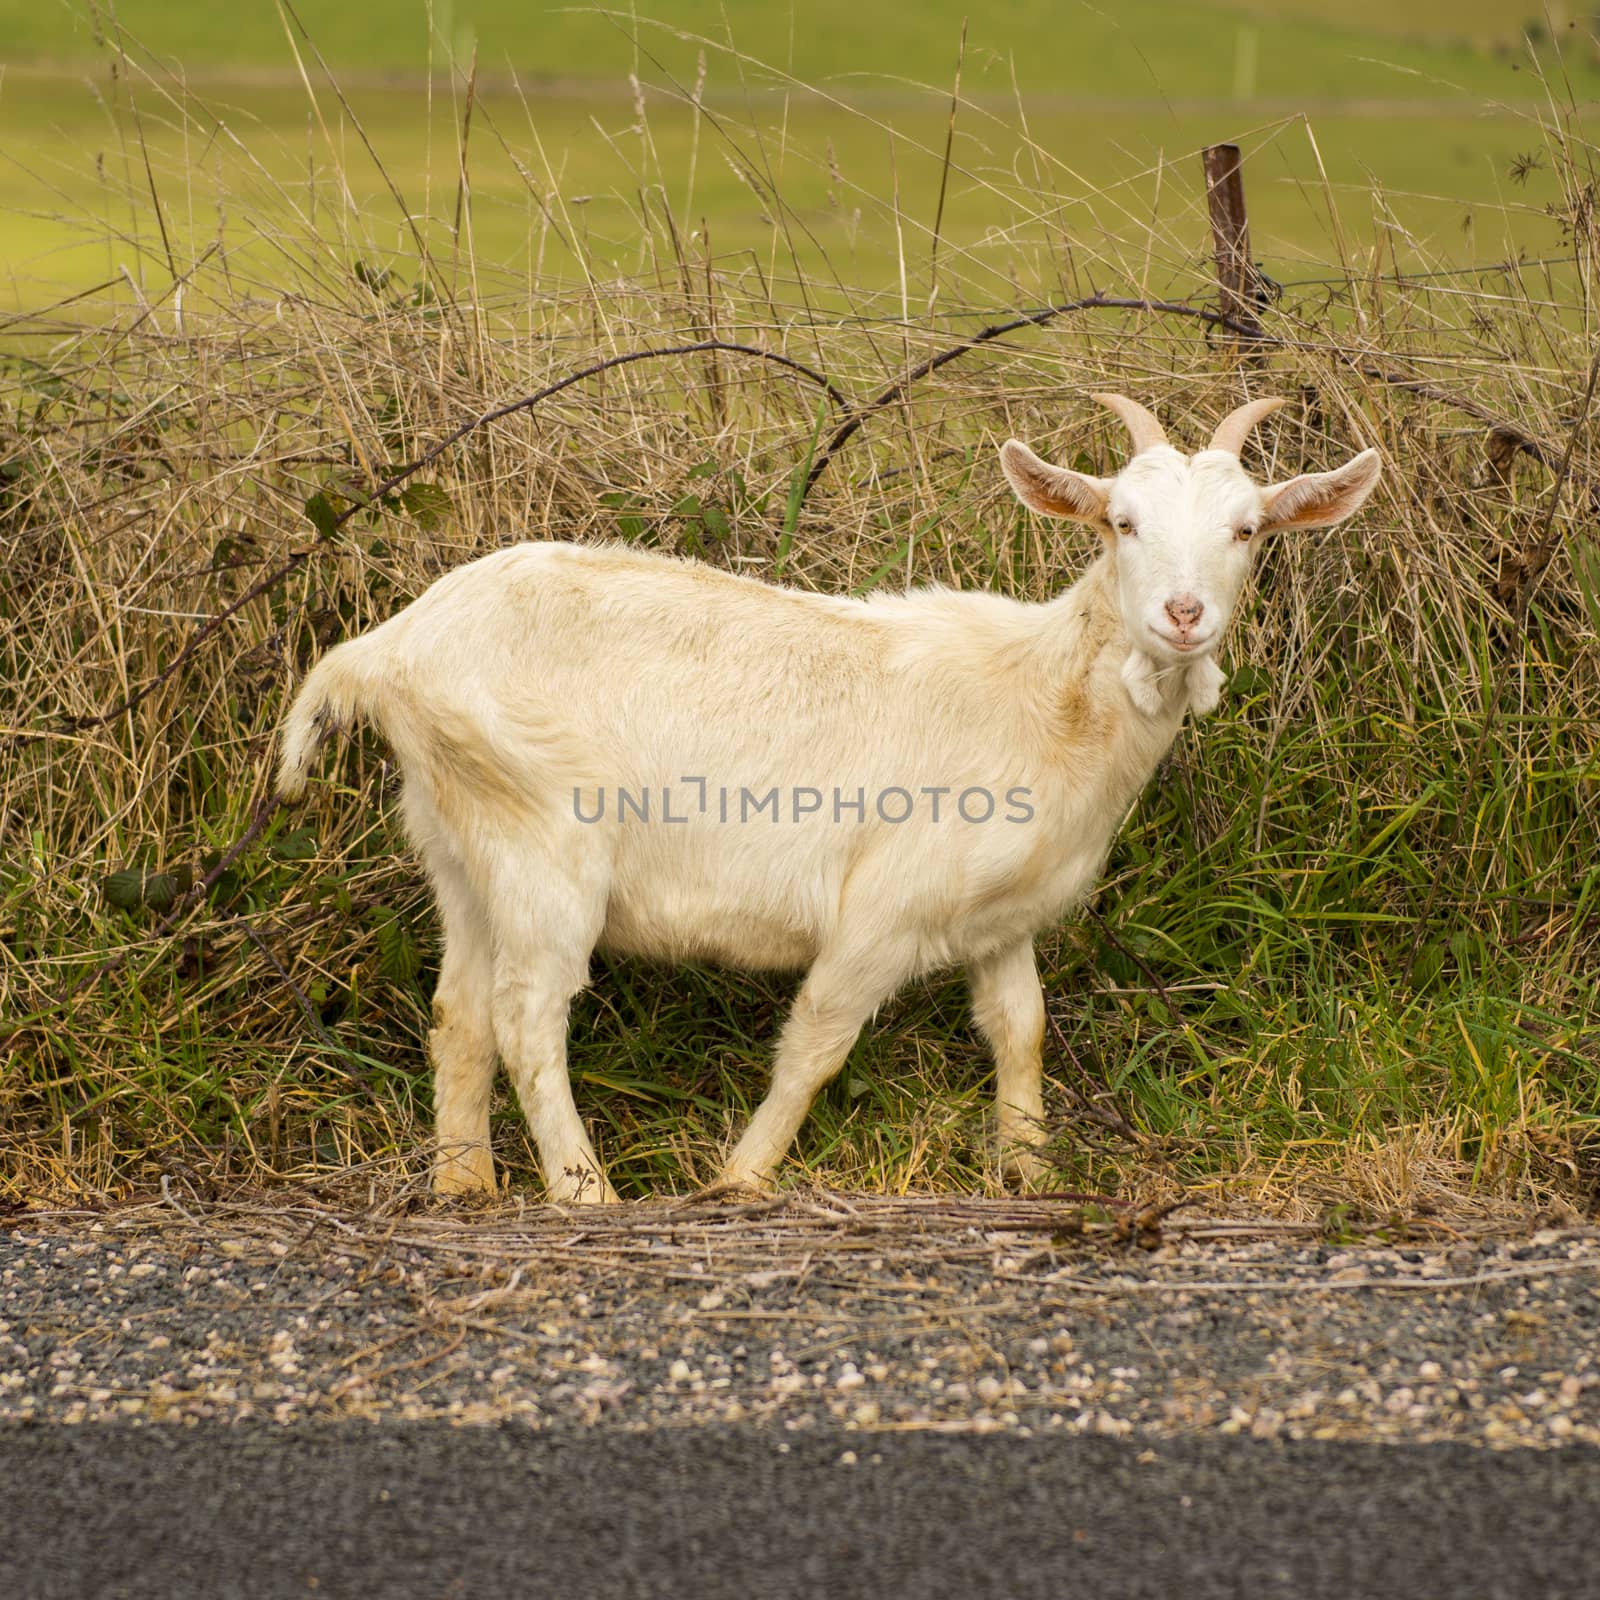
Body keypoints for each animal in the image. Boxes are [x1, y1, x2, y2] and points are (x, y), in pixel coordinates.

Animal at [275, 396, 1376, 1203]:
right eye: (1121, 523)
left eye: (1247, 529)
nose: (1183, 615)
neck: (1047, 695)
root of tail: (385, 650)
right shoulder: (883, 909)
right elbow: (816, 1042)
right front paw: (740, 1180)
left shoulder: (1000, 916)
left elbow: (1017, 1027)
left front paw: (1030, 1168)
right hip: (542, 838)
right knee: (525, 1017)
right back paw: (586, 1193)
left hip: (459, 840)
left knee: (457, 1010)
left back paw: (464, 1185)